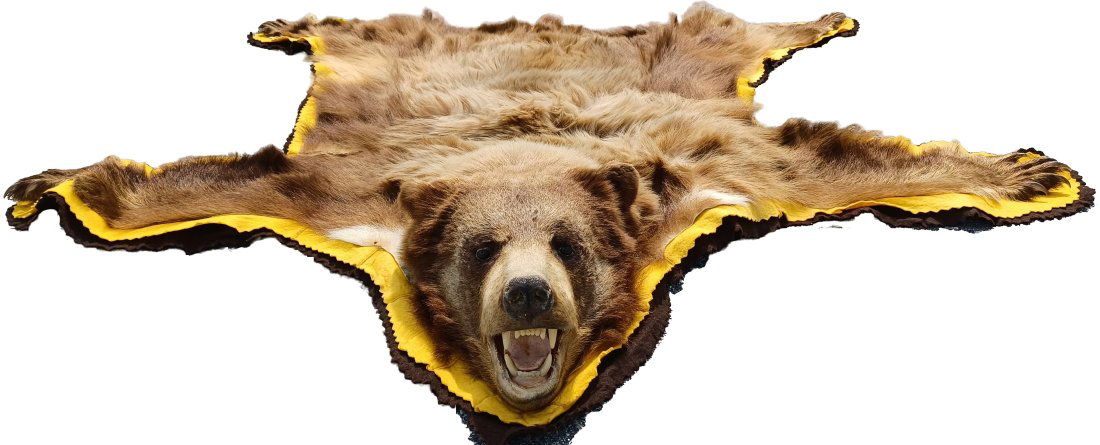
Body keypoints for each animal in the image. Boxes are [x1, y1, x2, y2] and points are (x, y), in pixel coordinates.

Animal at [4, 3, 1075, 411]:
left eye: (566, 244)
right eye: (484, 248)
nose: (526, 295)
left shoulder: (709, 167)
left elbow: (833, 161)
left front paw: (1027, 176)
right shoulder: (337, 186)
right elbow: (210, 183)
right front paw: (54, 182)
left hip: (682, 61)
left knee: (726, 26)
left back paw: (822, 14)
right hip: (389, 50)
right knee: (356, 23)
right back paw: (285, 20)